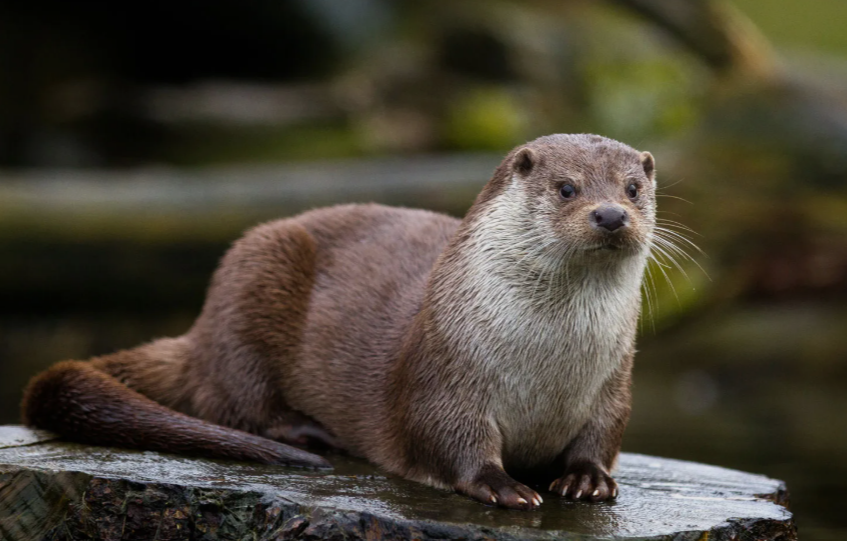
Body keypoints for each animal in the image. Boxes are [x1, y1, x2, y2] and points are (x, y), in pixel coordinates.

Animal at [22, 134, 657, 510]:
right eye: (567, 187)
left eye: (634, 188)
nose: (610, 214)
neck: (548, 367)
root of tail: (199, 333)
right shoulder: (443, 374)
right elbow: (447, 438)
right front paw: (504, 486)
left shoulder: (614, 384)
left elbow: (605, 434)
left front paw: (586, 479)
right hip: (252, 278)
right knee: (231, 399)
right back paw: (306, 433)